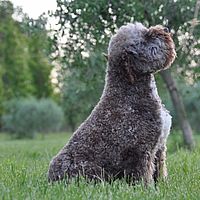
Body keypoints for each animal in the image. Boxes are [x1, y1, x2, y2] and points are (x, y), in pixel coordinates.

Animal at [47, 22, 176, 185]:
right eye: (145, 37)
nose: (166, 29)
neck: (129, 90)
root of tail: (51, 178)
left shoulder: (159, 147)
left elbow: (160, 170)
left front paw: (163, 185)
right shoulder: (141, 151)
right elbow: (144, 175)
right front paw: (148, 188)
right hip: (92, 171)